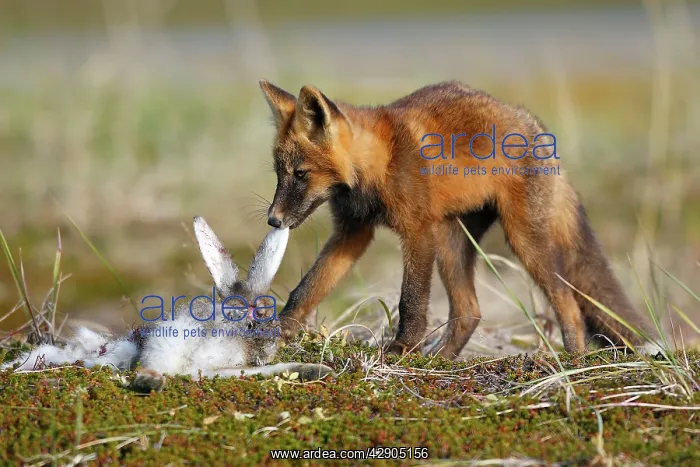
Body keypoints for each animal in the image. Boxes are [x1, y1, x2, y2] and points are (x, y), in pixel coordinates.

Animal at [258, 79, 660, 359]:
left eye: (300, 174)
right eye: (279, 173)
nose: (273, 221)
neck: (380, 167)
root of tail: (533, 124)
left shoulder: (417, 231)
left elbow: (411, 301)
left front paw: (402, 349)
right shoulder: (353, 231)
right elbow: (308, 287)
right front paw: (279, 331)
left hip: (520, 240)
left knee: (568, 301)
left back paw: (574, 359)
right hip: (453, 241)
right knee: (470, 312)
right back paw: (443, 360)